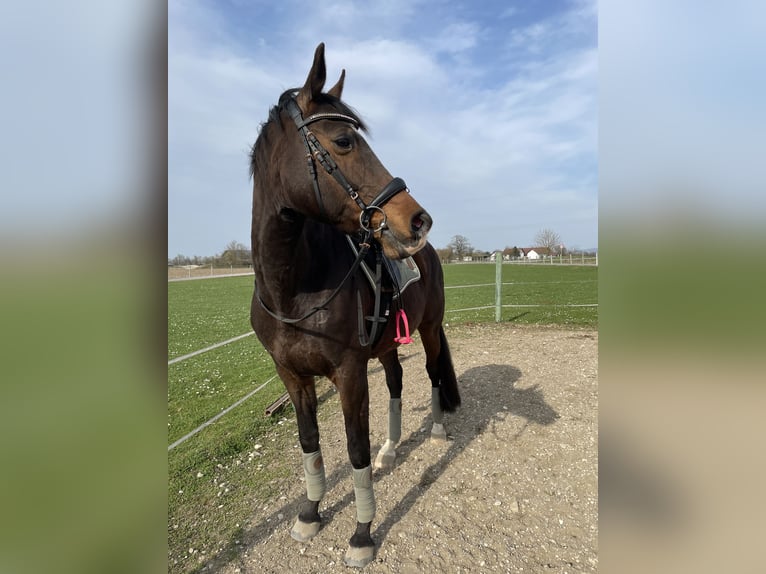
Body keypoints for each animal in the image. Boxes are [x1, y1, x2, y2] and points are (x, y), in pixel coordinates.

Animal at [250, 42, 462, 568]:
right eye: (344, 140)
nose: (418, 219)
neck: (294, 290)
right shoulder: (293, 376)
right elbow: (310, 443)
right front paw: (309, 513)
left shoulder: (347, 373)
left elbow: (354, 449)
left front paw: (362, 534)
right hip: (386, 345)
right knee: (396, 381)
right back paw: (392, 448)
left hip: (429, 330)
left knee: (431, 373)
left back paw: (437, 431)